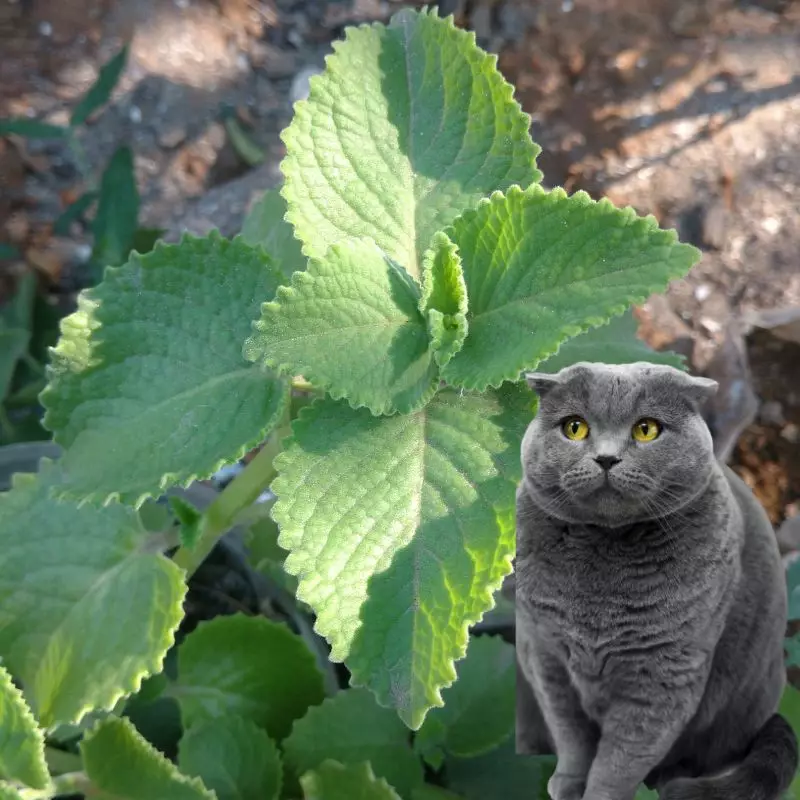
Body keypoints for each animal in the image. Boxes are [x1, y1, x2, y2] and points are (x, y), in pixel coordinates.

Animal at [516, 360, 796, 800]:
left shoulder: (662, 675)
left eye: (646, 429)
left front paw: (597, 794)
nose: (606, 458)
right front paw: (568, 783)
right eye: (574, 427)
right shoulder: (546, 656)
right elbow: (572, 736)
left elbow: (619, 761)